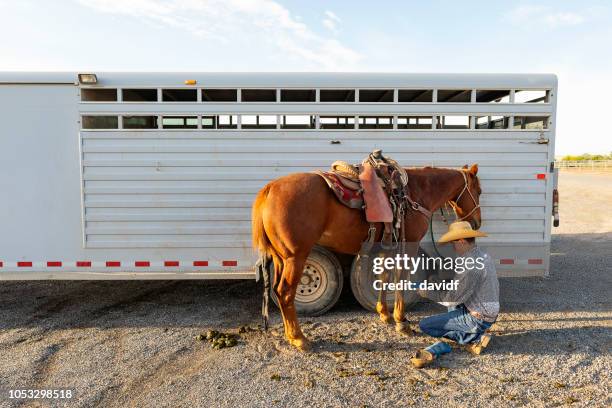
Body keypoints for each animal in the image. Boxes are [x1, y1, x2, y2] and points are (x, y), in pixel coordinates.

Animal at [251, 164, 480, 350]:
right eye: (478, 191)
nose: (476, 223)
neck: (416, 192)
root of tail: (269, 189)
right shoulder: (409, 245)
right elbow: (400, 278)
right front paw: (401, 321)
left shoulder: (386, 246)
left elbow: (384, 277)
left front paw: (384, 314)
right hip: (295, 257)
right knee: (286, 293)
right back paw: (299, 338)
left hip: (281, 258)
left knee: (278, 291)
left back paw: (290, 335)